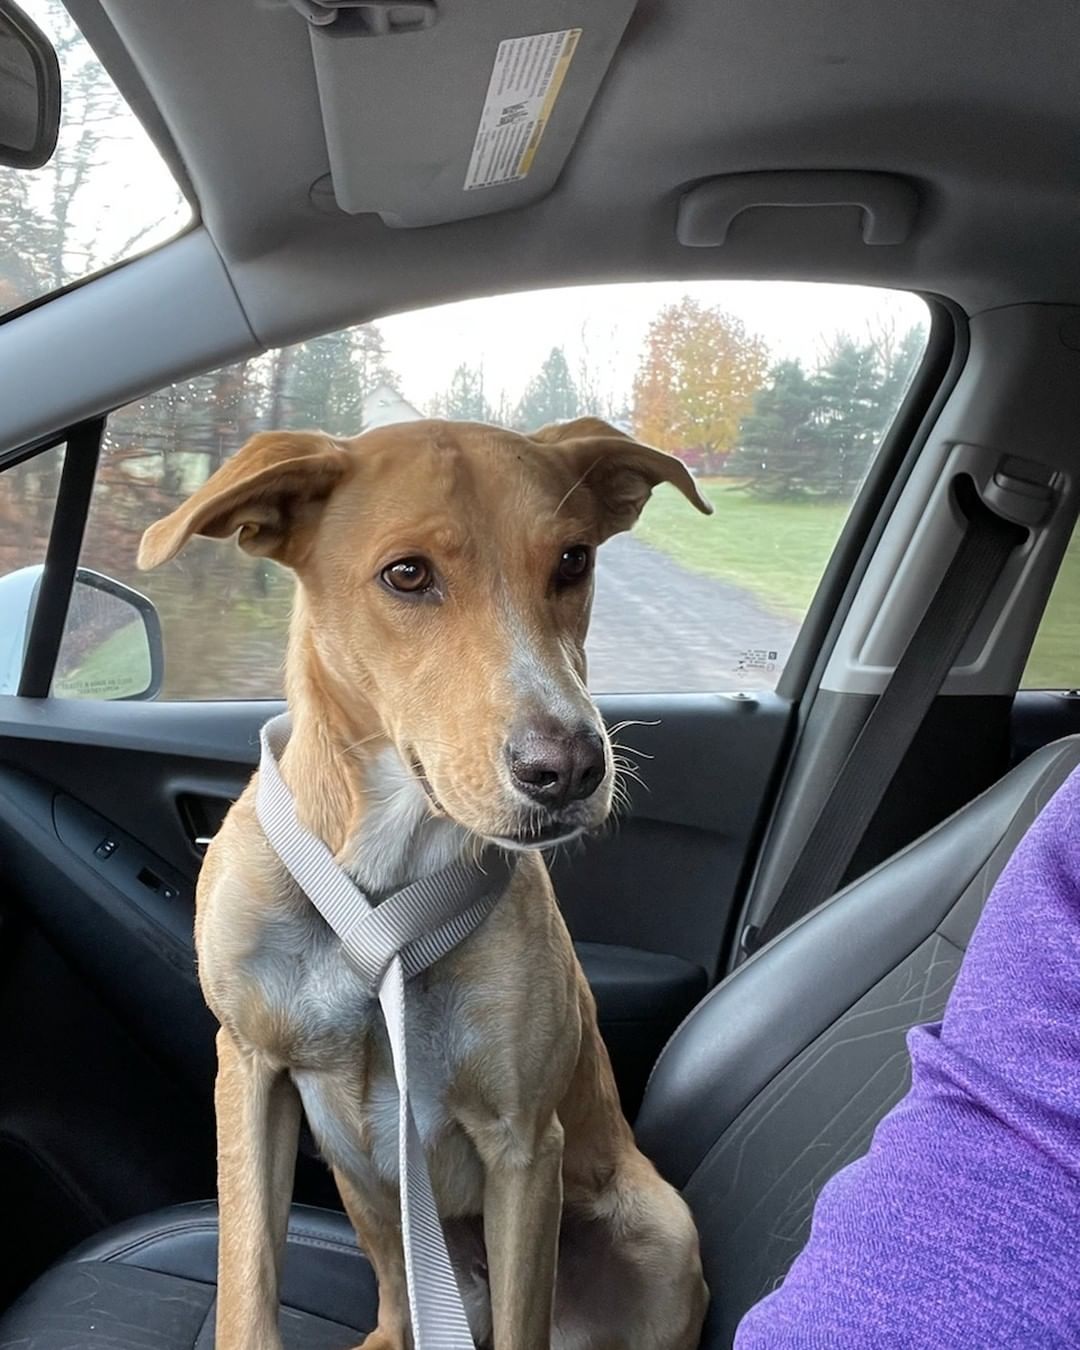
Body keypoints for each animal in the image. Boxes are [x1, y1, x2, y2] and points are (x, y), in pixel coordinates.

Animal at [137, 415, 707, 1344]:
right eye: (406, 574)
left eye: (573, 561)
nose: (571, 769)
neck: (382, 888)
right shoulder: (250, 1070)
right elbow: (248, 1288)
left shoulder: (524, 1148)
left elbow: (521, 1320)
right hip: (369, 1199)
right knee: (400, 1308)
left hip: (661, 1235)